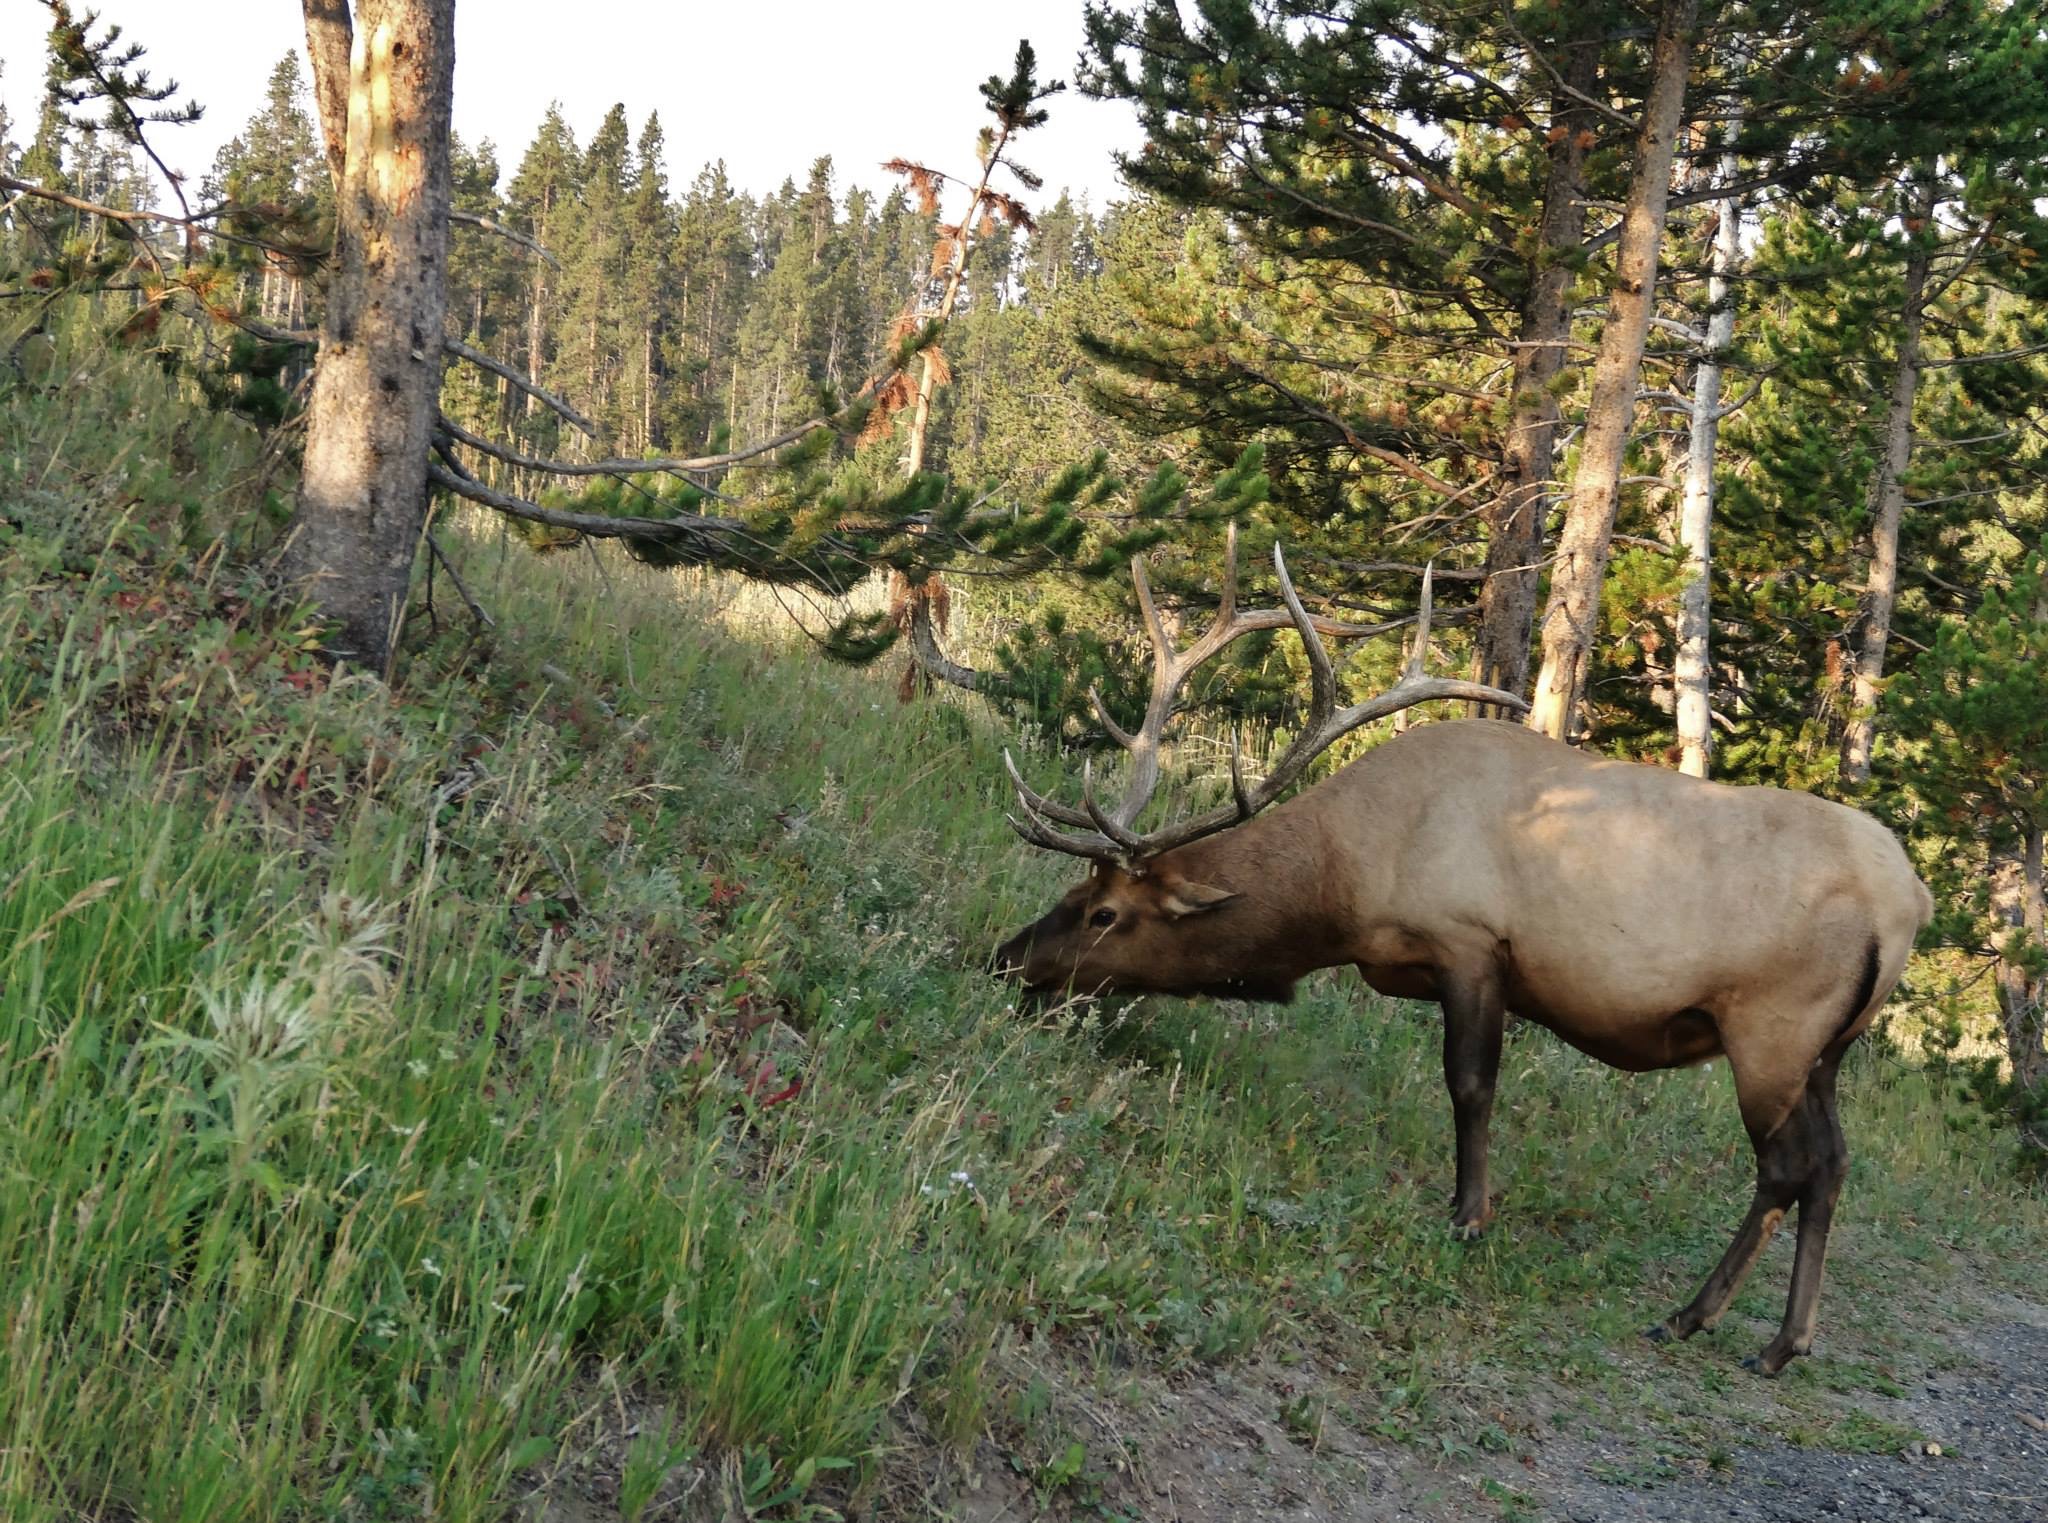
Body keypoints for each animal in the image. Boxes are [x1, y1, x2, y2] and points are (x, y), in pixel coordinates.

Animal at [989, 529, 1934, 1375]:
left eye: (1104, 912)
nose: (1007, 957)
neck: (1351, 877)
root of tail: (1910, 903)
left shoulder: (1470, 944)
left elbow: (1471, 1087)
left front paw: (1467, 1215)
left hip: (1770, 1031)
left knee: (1785, 1169)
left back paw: (1698, 1318)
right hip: (1827, 1052)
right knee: (1833, 1164)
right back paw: (1787, 1340)